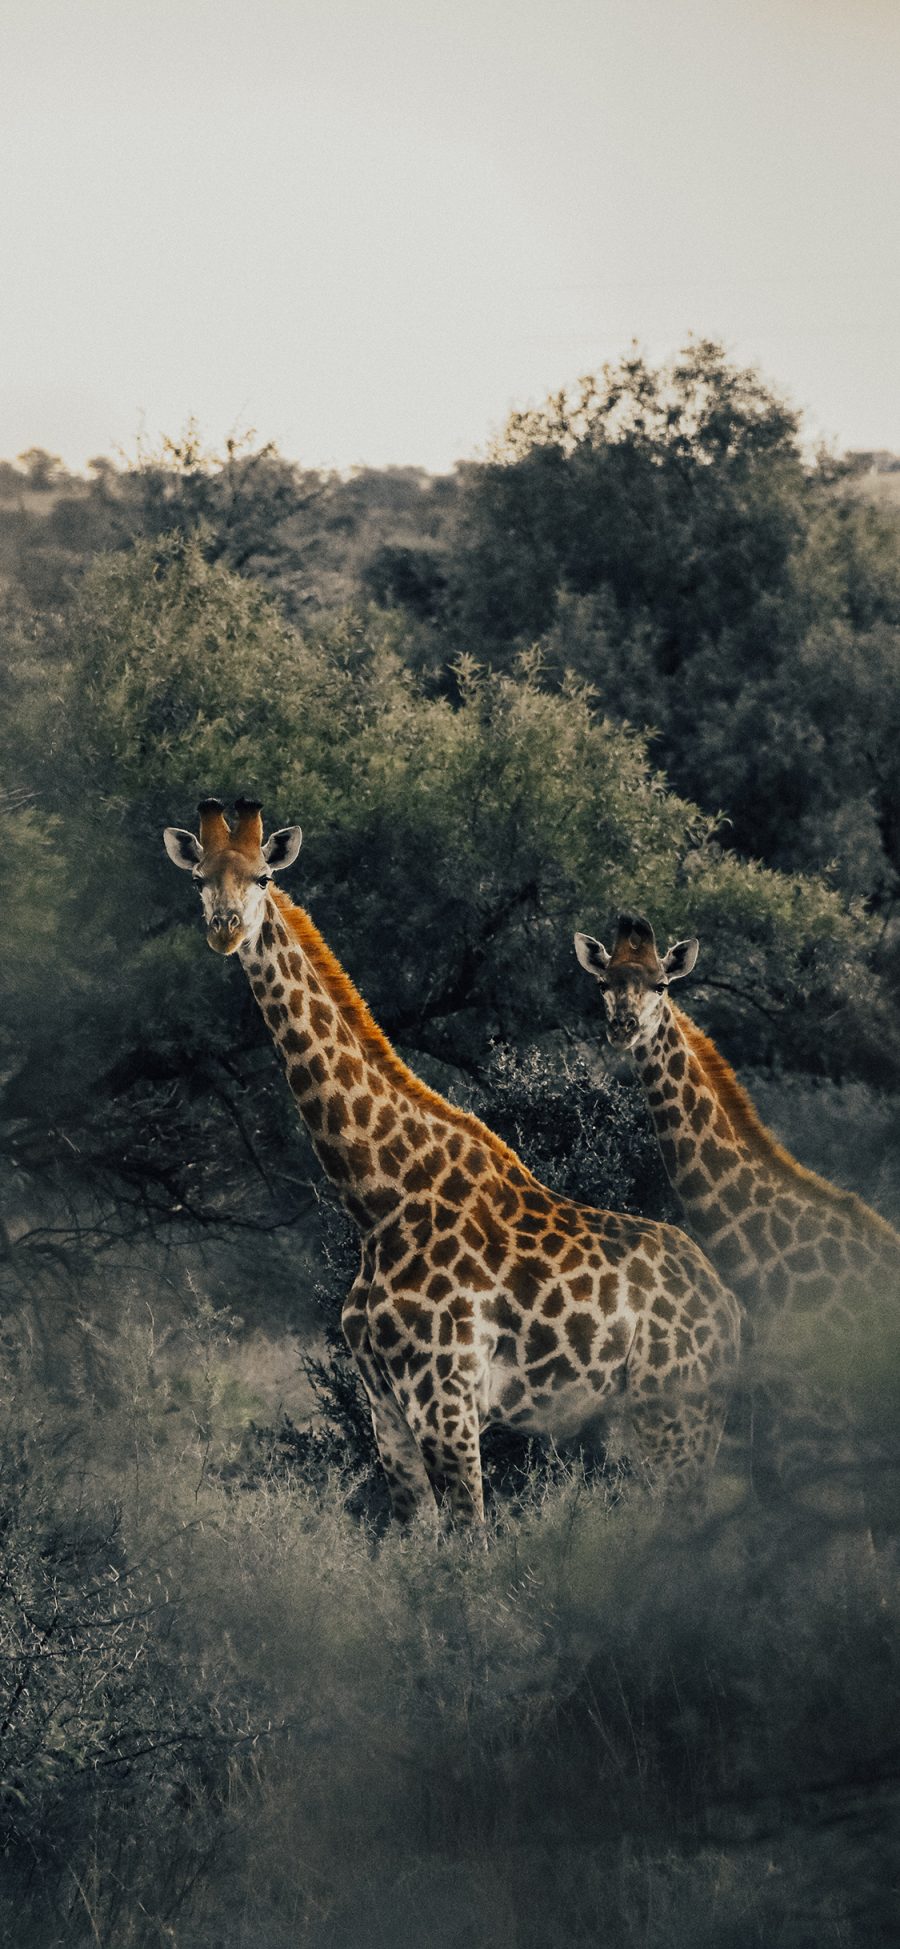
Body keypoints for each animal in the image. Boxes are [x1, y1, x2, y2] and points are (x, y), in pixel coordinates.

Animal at [161, 802, 736, 1520]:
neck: (378, 1199)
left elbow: (473, 1539)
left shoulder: (446, 1402)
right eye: (198, 879)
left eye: (264, 876)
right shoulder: (386, 1410)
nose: (226, 930)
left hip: (675, 1414)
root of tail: (726, 1305)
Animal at [576, 912, 900, 1504]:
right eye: (605, 982)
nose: (624, 1026)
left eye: (662, 984)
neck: (764, 1275)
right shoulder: (777, 1449)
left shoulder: (827, 1444)